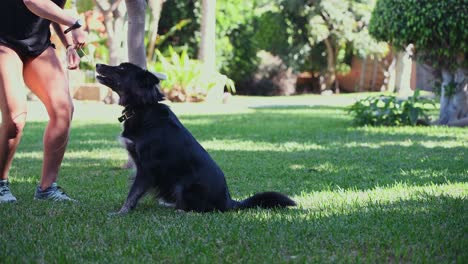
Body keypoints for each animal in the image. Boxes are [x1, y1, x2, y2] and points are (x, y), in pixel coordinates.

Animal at [94, 63, 296, 213]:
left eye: (121, 69)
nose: (97, 64)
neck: (143, 107)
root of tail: (228, 201)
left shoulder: (146, 169)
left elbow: (132, 194)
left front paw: (122, 212)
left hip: (183, 184)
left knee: (199, 209)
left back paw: (180, 211)